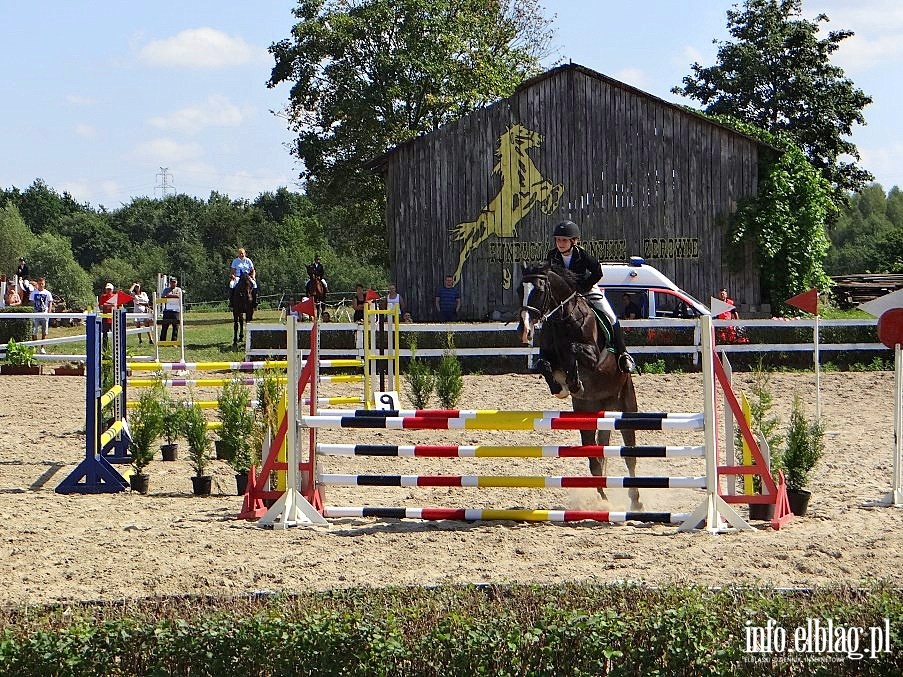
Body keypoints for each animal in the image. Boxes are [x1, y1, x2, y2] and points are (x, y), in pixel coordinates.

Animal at [516, 262, 644, 510]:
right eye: (519, 290)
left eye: (539, 291)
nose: (524, 331)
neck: (564, 319)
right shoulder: (548, 357)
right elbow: (544, 364)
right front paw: (561, 387)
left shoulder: (593, 356)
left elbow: (574, 350)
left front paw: (573, 381)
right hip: (589, 413)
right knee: (595, 458)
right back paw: (603, 500)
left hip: (626, 406)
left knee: (629, 457)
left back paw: (635, 501)